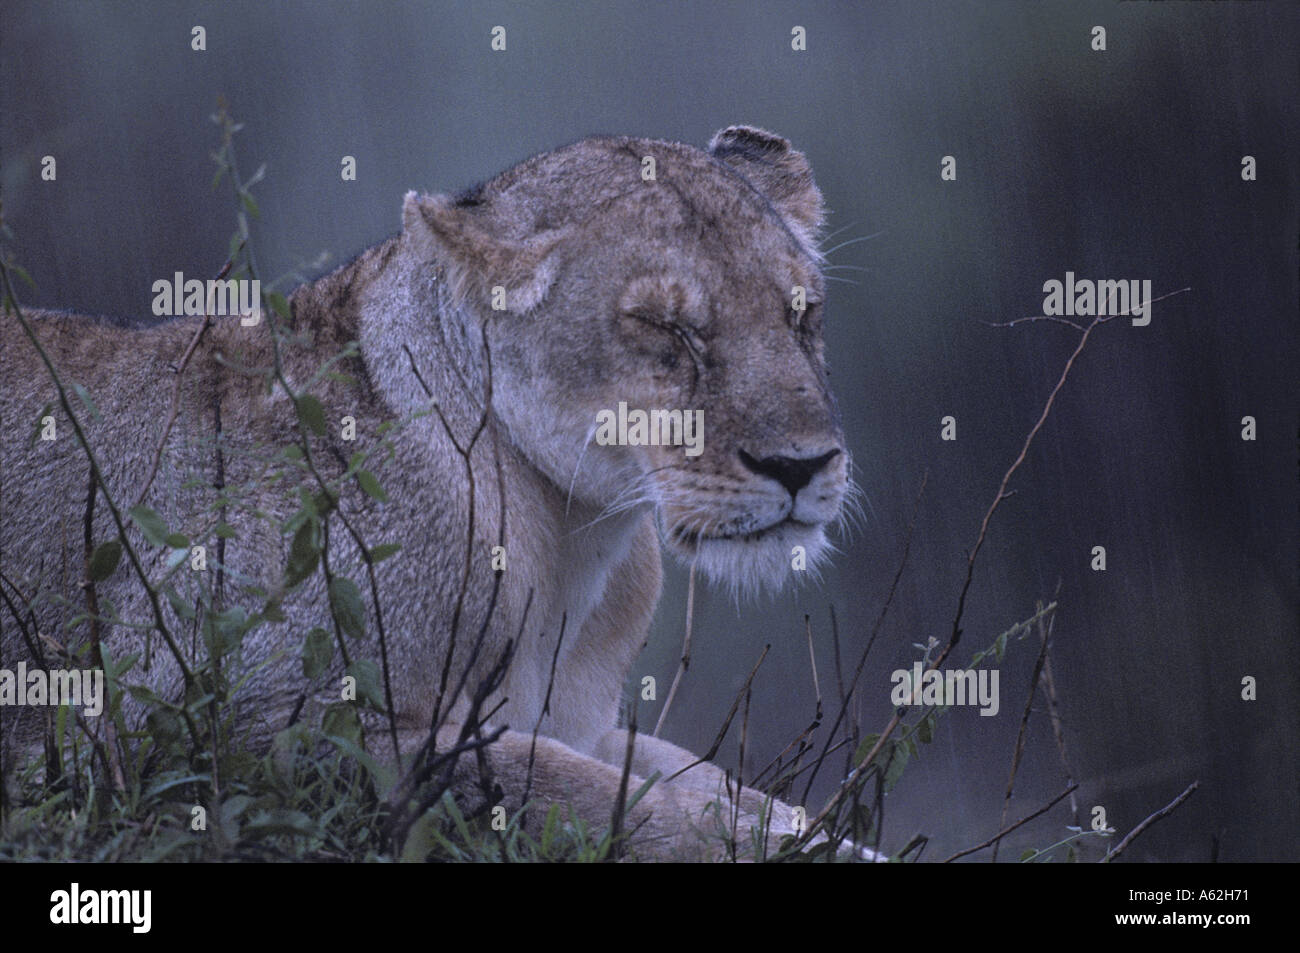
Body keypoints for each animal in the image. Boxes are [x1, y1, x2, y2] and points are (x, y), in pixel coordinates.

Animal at [0, 125, 854, 860]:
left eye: (803, 311)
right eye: (662, 326)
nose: (803, 465)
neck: (572, 541)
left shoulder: (582, 723)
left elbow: (700, 778)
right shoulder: (221, 731)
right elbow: (591, 797)